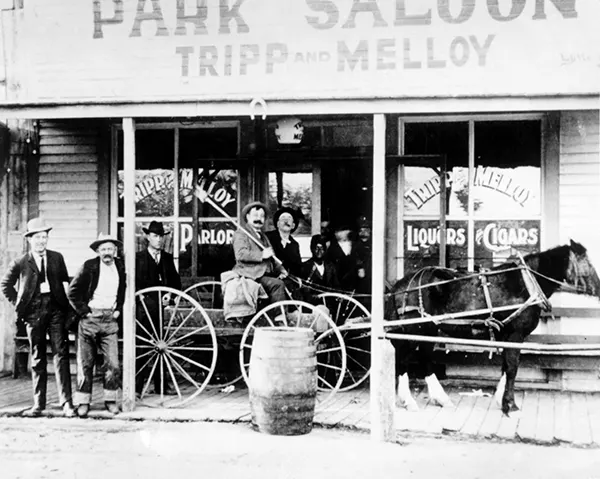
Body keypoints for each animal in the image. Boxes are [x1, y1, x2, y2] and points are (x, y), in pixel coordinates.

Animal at [384, 240, 600, 416]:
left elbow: (506, 366)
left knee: (425, 358)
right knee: (403, 360)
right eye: (587, 261)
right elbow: (512, 368)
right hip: (414, 330)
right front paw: (510, 405)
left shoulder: (506, 335)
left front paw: (502, 400)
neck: (525, 284)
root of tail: (400, 285)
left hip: (428, 329)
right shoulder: (515, 334)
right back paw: (408, 401)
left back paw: (441, 399)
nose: (598, 288)